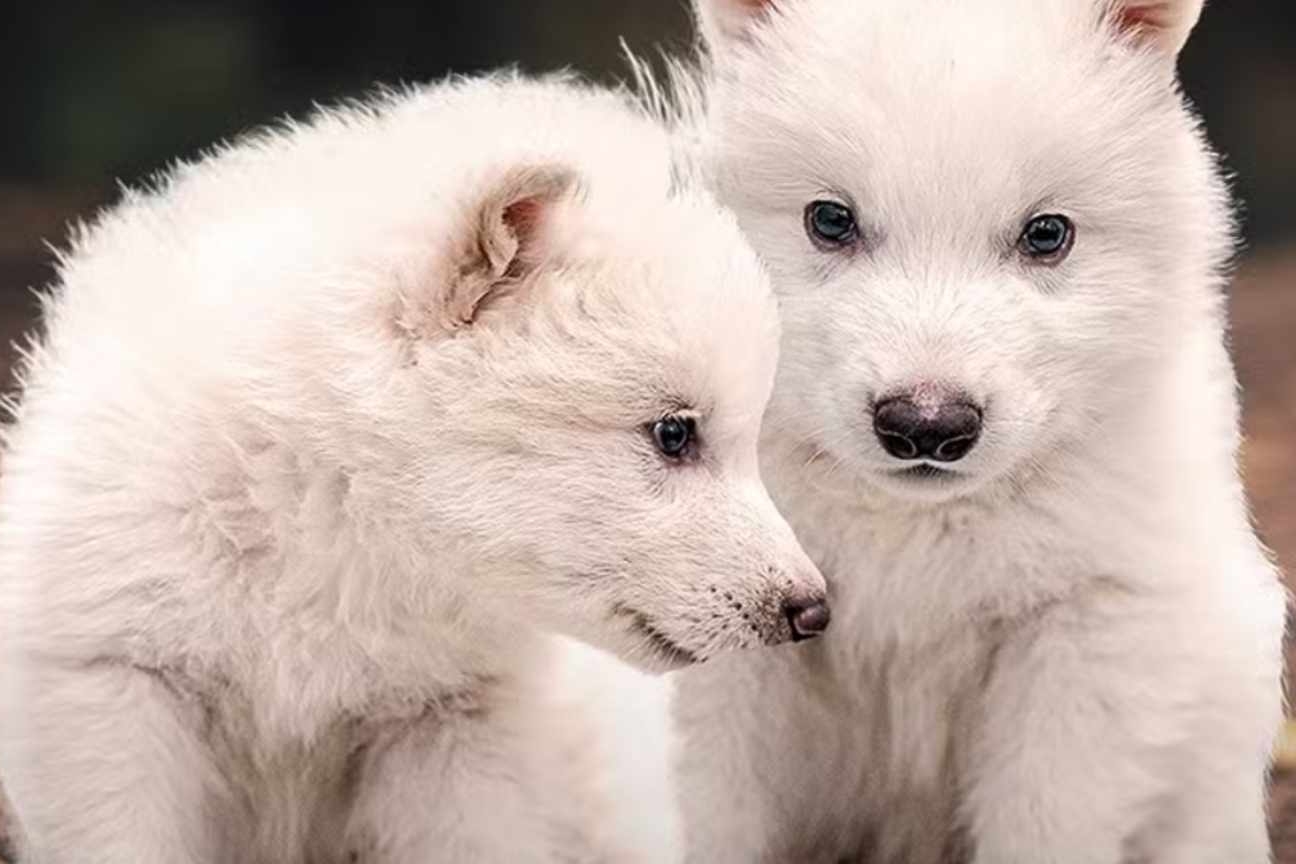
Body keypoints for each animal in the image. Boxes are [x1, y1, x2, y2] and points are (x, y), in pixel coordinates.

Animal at [662, 1, 1288, 861]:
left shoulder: (1086, 630)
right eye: (830, 220)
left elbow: (1043, 819)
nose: (926, 425)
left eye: (1047, 234)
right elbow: (717, 811)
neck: (913, 530)